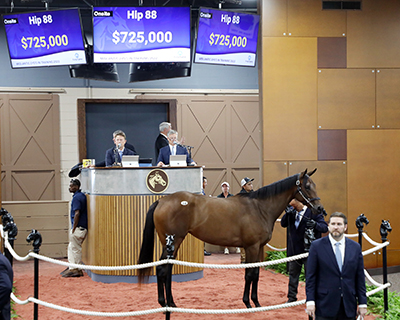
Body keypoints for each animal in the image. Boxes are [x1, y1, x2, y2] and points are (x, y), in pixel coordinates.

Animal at [138, 169, 324, 308]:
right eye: (307, 186)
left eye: (315, 185)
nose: (320, 209)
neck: (259, 208)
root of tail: (162, 201)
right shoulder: (251, 247)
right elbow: (249, 274)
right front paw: (247, 303)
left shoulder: (259, 247)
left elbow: (256, 273)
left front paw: (256, 303)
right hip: (173, 241)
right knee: (162, 269)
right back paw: (165, 303)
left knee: (166, 269)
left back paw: (170, 303)